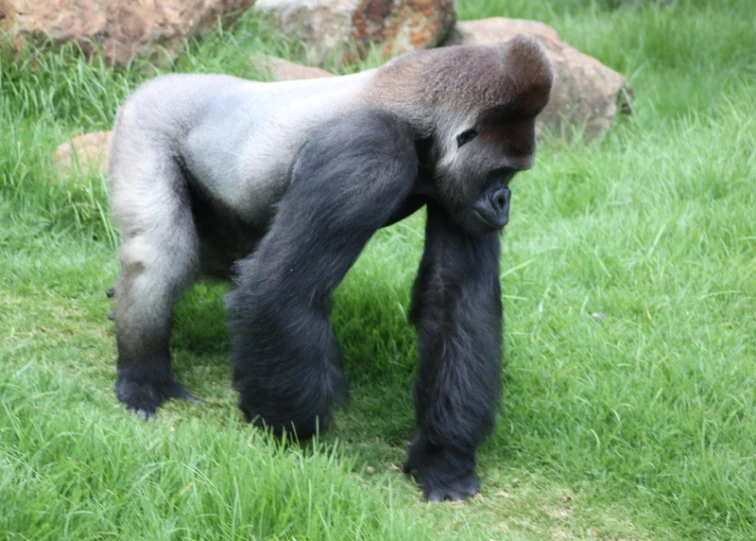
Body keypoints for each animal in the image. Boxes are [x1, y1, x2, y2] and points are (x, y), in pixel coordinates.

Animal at [106, 35, 552, 500]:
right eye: (501, 172)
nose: (503, 202)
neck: (421, 122)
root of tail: (158, 82)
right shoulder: (369, 149)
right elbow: (280, 290)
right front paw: (290, 433)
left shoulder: (457, 195)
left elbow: (456, 302)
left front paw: (444, 458)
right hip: (145, 120)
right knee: (161, 252)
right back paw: (144, 374)